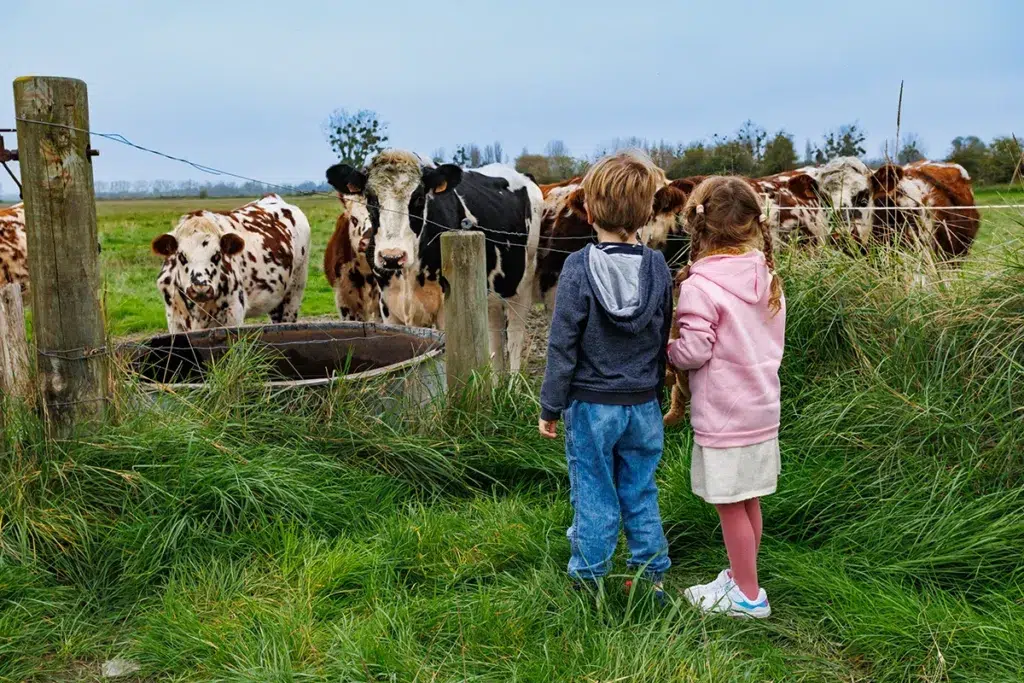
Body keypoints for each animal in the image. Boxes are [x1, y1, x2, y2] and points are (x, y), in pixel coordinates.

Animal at [151, 194, 311, 333]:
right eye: (181, 256)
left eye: (217, 255)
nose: (200, 288)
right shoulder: (174, 320)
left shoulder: (234, 314)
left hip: (295, 291)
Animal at [325, 150, 544, 373]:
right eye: (370, 198)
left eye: (419, 197)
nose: (392, 256)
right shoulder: (389, 307)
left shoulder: (445, 309)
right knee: (496, 333)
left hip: (522, 283)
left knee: (515, 336)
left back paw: (513, 380)